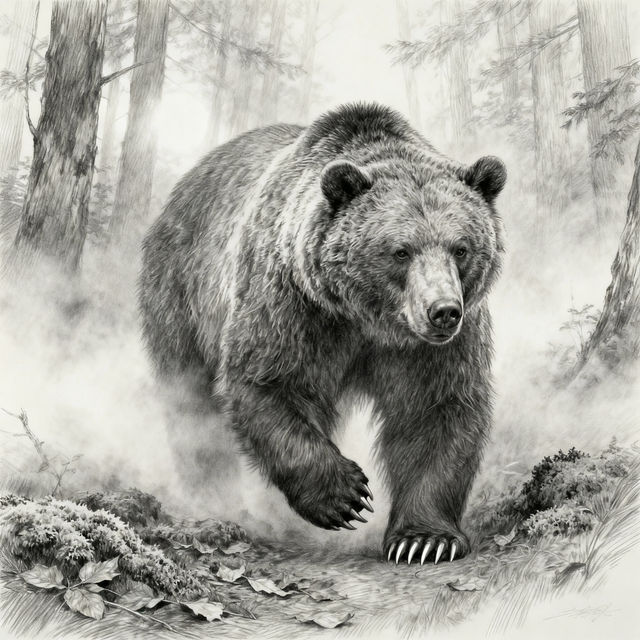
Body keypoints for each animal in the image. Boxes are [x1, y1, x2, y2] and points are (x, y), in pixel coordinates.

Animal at [139, 103, 506, 565]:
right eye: (400, 251)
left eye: (461, 248)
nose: (442, 312)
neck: (370, 319)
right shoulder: (295, 304)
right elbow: (267, 381)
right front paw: (345, 496)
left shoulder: (432, 348)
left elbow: (436, 410)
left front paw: (424, 540)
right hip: (179, 290)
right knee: (190, 405)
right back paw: (212, 500)